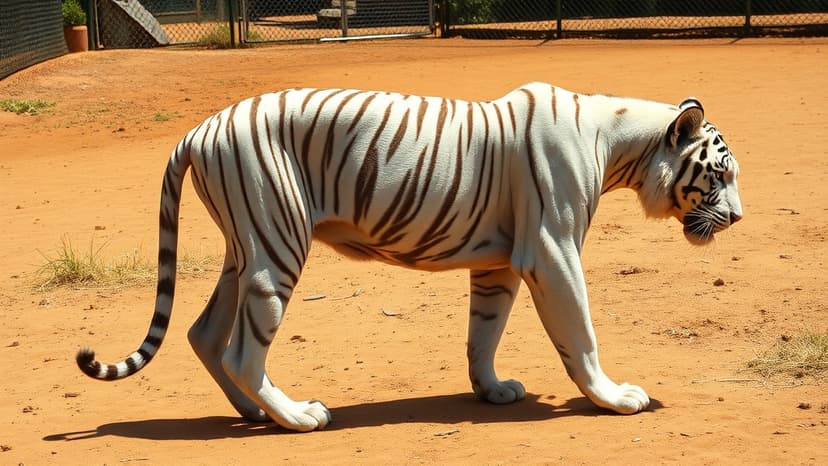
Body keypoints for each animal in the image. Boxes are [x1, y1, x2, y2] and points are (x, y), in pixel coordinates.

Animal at [76, 82, 742, 432]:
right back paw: (296, 415)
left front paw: (492, 389)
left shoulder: (499, 262)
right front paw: (614, 397)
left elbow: (483, 334)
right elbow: (580, 334)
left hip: (244, 249)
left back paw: (254, 412)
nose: (737, 218)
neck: (620, 145)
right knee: (242, 349)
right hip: (275, 244)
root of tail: (200, 129)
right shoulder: (552, 252)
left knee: (204, 333)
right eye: (720, 175)